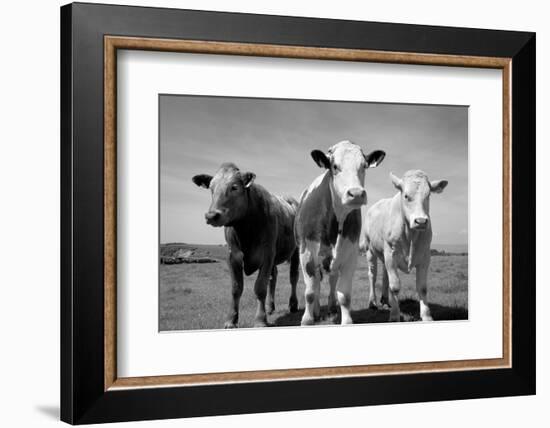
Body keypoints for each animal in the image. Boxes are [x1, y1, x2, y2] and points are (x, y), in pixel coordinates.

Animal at [192, 163, 300, 328]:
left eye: (234, 187)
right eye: (211, 188)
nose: (211, 215)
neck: (245, 229)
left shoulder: (267, 254)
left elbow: (260, 287)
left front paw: (260, 320)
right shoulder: (233, 256)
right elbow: (236, 288)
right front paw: (231, 320)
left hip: (295, 251)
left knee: (293, 277)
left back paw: (293, 305)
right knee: (273, 278)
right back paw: (270, 307)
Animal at [296, 140, 386, 324]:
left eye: (364, 165)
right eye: (335, 166)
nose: (356, 194)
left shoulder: (350, 255)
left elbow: (344, 295)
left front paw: (346, 320)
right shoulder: (306, 253)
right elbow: (309, 293)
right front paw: (307, 320)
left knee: (331, 281)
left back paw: (330, 308)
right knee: (316, 285)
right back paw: (316, 311)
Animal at [362, 171, 448, 320]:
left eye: (428, 195)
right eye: (406, 196)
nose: (421, 221)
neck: (410, 235)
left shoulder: (425, 256)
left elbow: (422, 287)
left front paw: (426, 315)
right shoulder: (390, 254)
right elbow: (395, 286)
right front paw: (394, 316)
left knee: (385, 275)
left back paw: (386, 301)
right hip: (370, 250)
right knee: (372, 274)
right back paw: (372, 303)